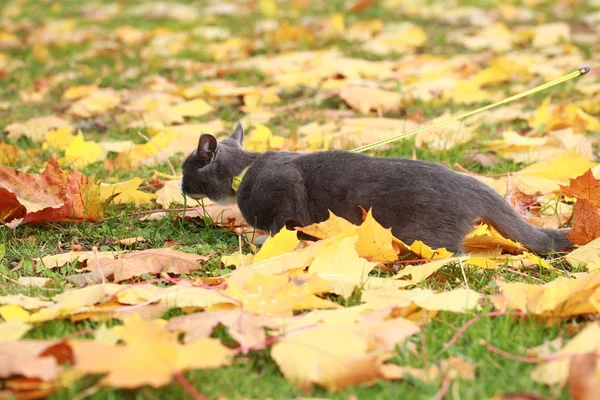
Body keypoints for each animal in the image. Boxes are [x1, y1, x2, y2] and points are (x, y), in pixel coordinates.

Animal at [179, 123, 572, 253]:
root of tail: (473, 185)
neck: (243, 173)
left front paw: (265, 241)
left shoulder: (286, 191)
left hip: (423, 232)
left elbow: (280, 226)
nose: (180, 186)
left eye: (185, 169)